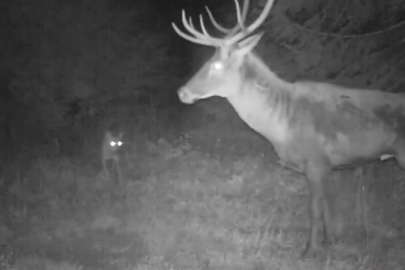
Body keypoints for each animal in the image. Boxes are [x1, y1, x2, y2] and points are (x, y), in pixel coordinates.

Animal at [170, 0, 404, 260]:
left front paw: (309, 250)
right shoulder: (325, 166)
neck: (282, 124)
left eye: (217, 64)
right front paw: (330, 241)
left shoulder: (316, 161)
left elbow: (314, 208)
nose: (182, 92)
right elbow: (326, 206)